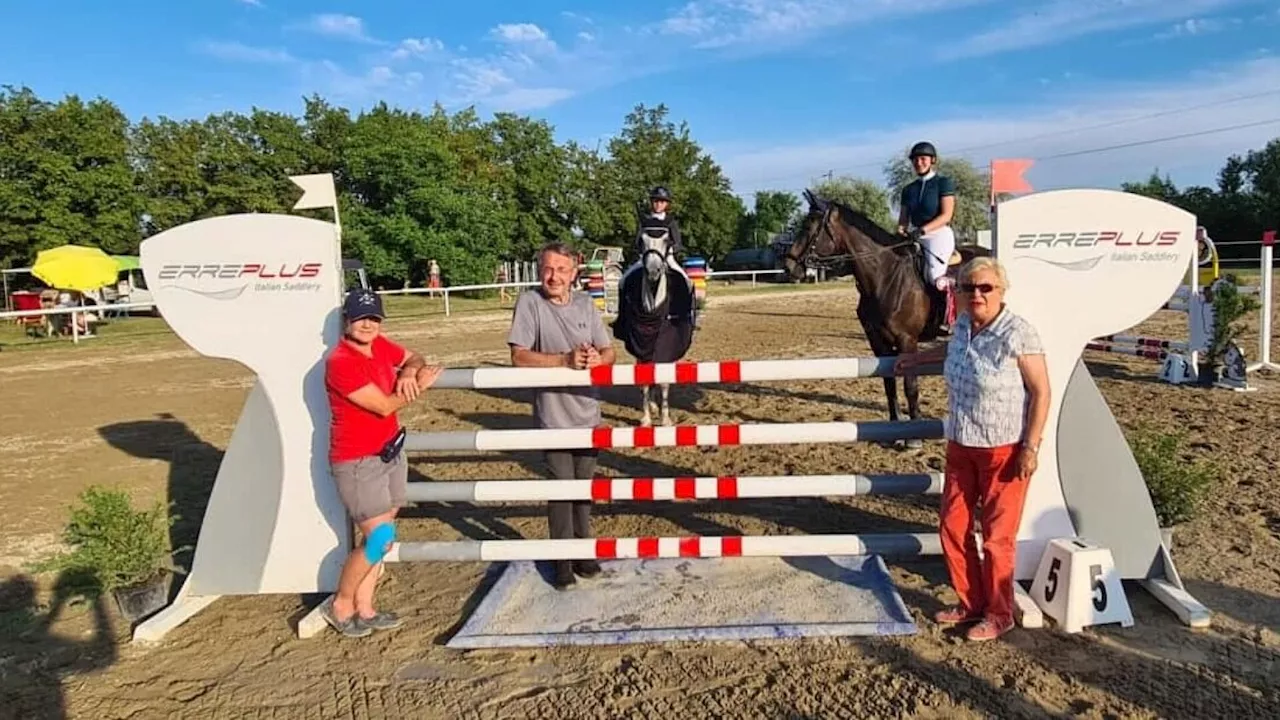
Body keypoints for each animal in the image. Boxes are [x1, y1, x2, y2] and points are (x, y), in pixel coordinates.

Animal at [783, 188, 983, 440]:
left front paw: (913, 437)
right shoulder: (878, 342)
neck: (885, 276)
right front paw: (895, 429)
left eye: (810, 226)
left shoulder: (907, 341)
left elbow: (910, 386)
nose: (789, 266)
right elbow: (889, 384)